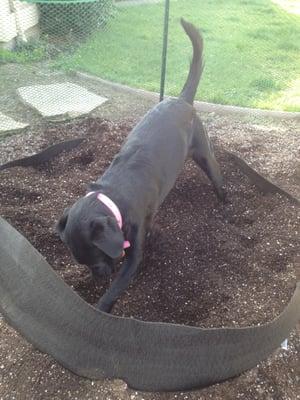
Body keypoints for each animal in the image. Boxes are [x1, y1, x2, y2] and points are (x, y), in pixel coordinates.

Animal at [56, 18, 225, 312]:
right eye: (82, 262)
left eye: (96, 258)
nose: (98, 277)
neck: (113, 197)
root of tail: (182, 99)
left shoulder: (133, 253)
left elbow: (117, 287)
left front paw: (100, 307)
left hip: (203, 152)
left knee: (217, 175)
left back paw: (225, 200)